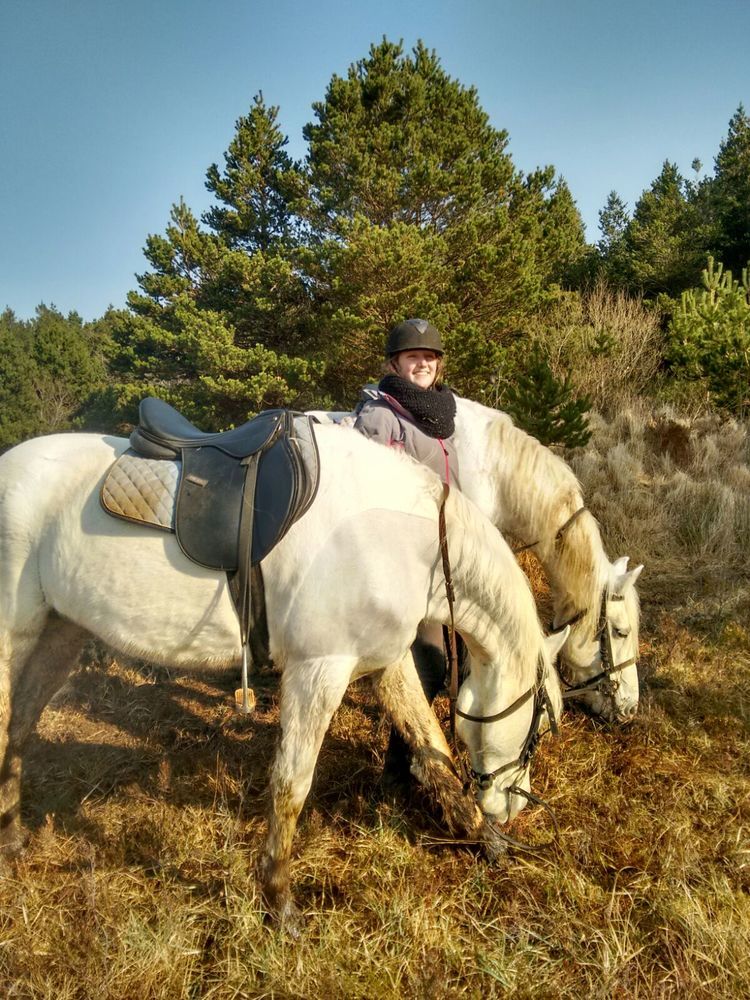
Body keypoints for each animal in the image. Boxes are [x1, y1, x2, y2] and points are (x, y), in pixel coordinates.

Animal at [0, 422, 564, 928]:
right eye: (541, 728)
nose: (511, 807)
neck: (401, 536)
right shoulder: (319, 670)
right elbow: (292, 784)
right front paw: (278, 899)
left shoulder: (388, 661)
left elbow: (433, 751)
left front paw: (485, 840)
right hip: (15, 637)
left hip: (60, 631)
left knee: (19, 729)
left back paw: (12, 838)